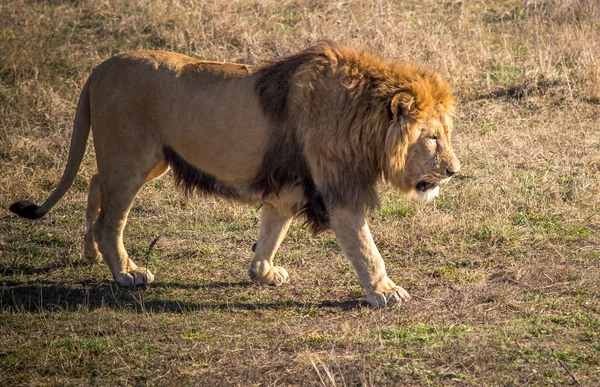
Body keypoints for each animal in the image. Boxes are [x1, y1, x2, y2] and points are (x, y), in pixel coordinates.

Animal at [9, 42, 460, 308]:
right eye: (432, 138)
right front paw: (386, 291)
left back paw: (89, 253)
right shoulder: (340, 191)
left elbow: (271, 231)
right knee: (110, 220)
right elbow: (366, 248)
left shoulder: (286, 189)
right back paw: (125, 272)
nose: (454, 171)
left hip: (145, 161)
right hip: (130, 160)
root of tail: (98, 68)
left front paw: (263, 273)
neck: (364, 120)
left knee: (93, 183)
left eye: (445, 134)